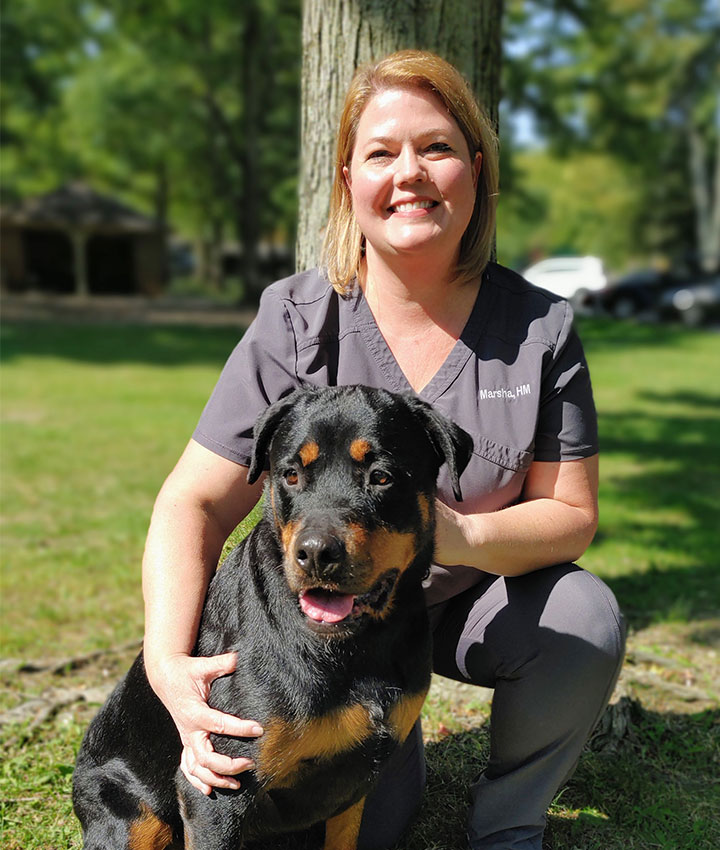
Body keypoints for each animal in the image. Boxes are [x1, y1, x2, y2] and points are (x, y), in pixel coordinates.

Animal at [73, 386, 472, 848]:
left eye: (382, 476)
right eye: (291, 475)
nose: (316, 552)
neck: (355, 643)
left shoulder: (354, 785)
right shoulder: (214, 785)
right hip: (132, 817)